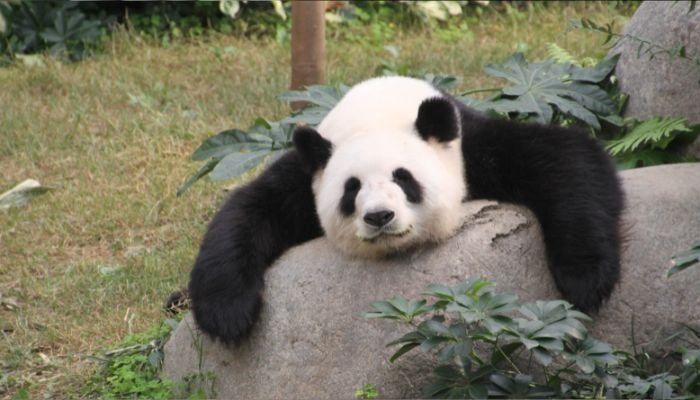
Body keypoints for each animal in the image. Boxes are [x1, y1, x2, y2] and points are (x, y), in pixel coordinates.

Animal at [186, 76, 624, 344]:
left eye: (403, 178)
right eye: (351, 189)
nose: (380, 217)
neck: (376, 111)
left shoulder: (470, 146)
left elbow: (564, 158)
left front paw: (584, 277)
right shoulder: (306, 174)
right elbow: (246, 211)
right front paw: (228, 313)